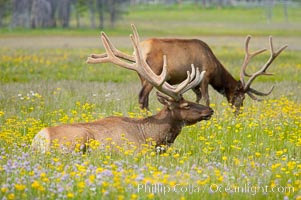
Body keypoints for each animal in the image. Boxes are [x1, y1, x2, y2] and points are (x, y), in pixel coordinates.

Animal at [88, 24, 286, 112]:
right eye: (240, 96)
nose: (238, 112)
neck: (216, 68)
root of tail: (139, 50)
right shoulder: (205, 77)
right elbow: (206, 98)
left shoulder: (195, 83)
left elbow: (197, 97)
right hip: (153, 74)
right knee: (142, 97)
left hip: (142, 75)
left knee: (143, 97)